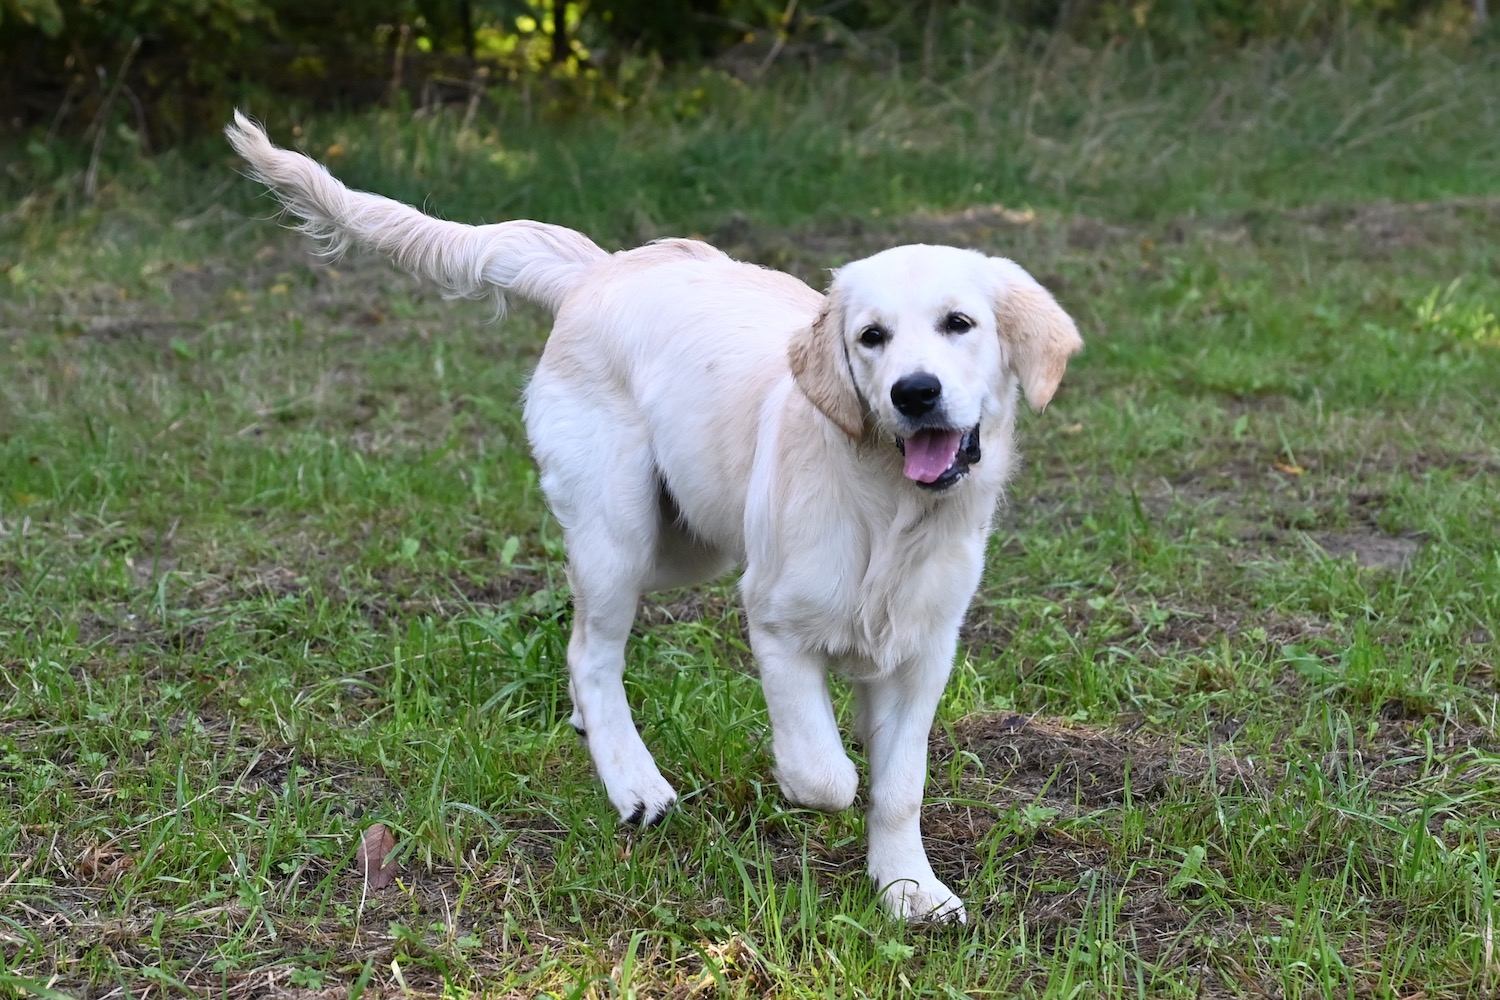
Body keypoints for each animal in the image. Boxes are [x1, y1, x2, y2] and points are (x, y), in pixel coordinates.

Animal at [226, 112, 1082, 923]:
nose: (914, 392)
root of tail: (602, 268)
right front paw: (815, 781)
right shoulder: (775, 622)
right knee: (591, 651)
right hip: (619, 529)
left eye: (959, 324)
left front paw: (909, 889)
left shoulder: (924, 651)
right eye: (871, 337)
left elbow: (900, 786)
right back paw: (633, 782)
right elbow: (824, 774)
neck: (891, 511)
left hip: (687, 541)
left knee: (582, 632)